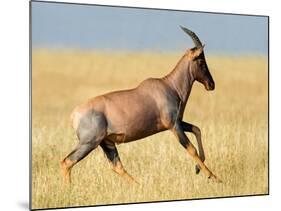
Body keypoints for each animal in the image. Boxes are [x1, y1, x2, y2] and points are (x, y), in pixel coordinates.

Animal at [60, 26, 220, 184]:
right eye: (201, 61)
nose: (211, 84)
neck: (170, 86)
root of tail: (74, 115)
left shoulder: (177, 122)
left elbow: (197, 129)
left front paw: (198, 169)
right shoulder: (174, 125)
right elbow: (191, 149)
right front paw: (214, 177)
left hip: (106, 142)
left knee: (117, 166)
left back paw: (139, 185)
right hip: (89, 143)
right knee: (67, 161)